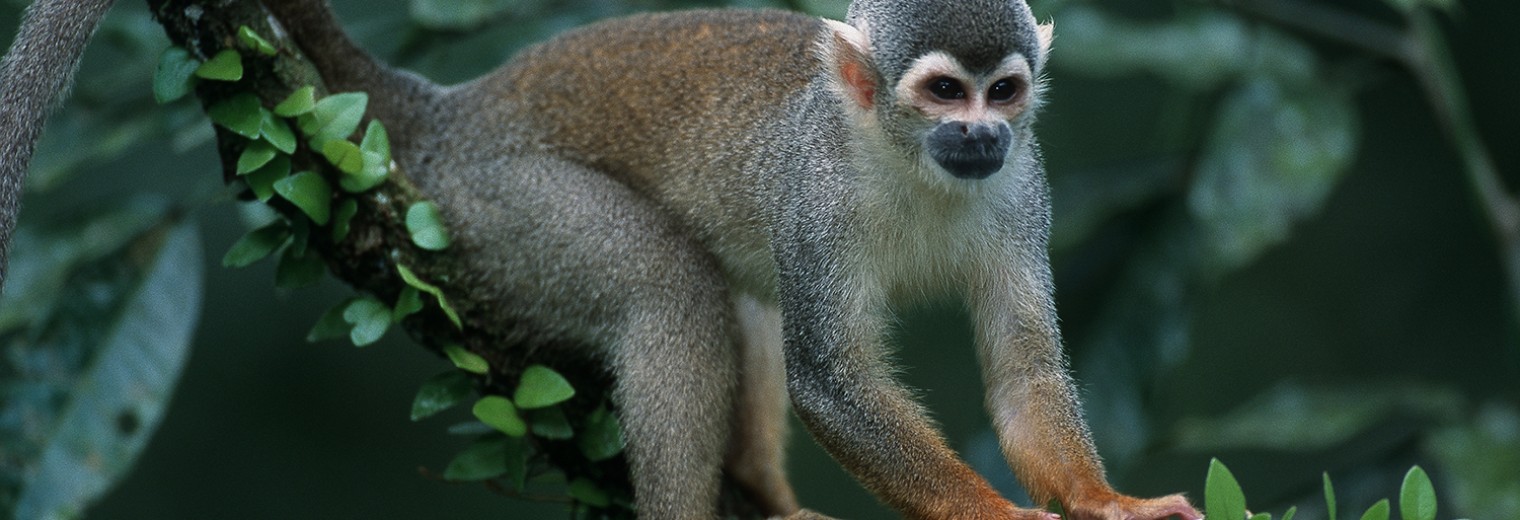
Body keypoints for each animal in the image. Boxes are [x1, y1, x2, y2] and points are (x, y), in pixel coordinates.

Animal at [5, 1, 1203, 520]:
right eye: (943, 92)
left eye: (1003, 92)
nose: (980, 135)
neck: (908, 163)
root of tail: (455, 111)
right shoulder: (816, 191)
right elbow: (829, 379)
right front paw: (996, 517)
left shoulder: (1025, 189)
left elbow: (1025, 370)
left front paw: (1104, 504)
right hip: (498, 209)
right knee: (673, 292)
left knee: (729, 296)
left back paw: (766, 499)